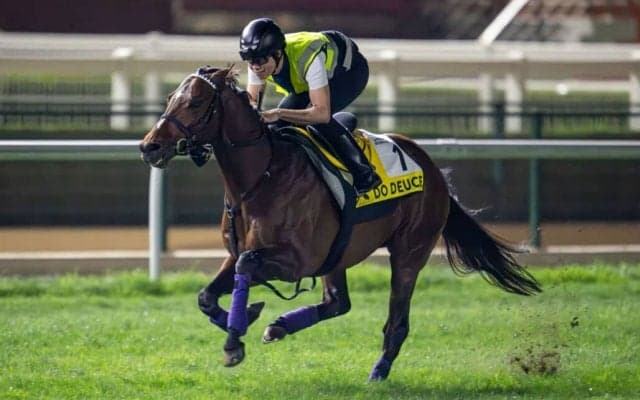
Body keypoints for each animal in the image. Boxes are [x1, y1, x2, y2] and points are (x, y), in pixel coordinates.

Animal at [139, 66, 541, 381]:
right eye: (170, 98)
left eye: (195, 102)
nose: (149, 147)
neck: (260, 177)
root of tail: (429, 164)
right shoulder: (240, 251)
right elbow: (207, 295)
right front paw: (248, 317)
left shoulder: (295, 261)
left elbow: (246, 266)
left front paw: (235, 337)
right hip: (339, 253)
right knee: (337, 303)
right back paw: (280, 326)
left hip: (409, 253)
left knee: (397, 321)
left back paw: (378, 371)